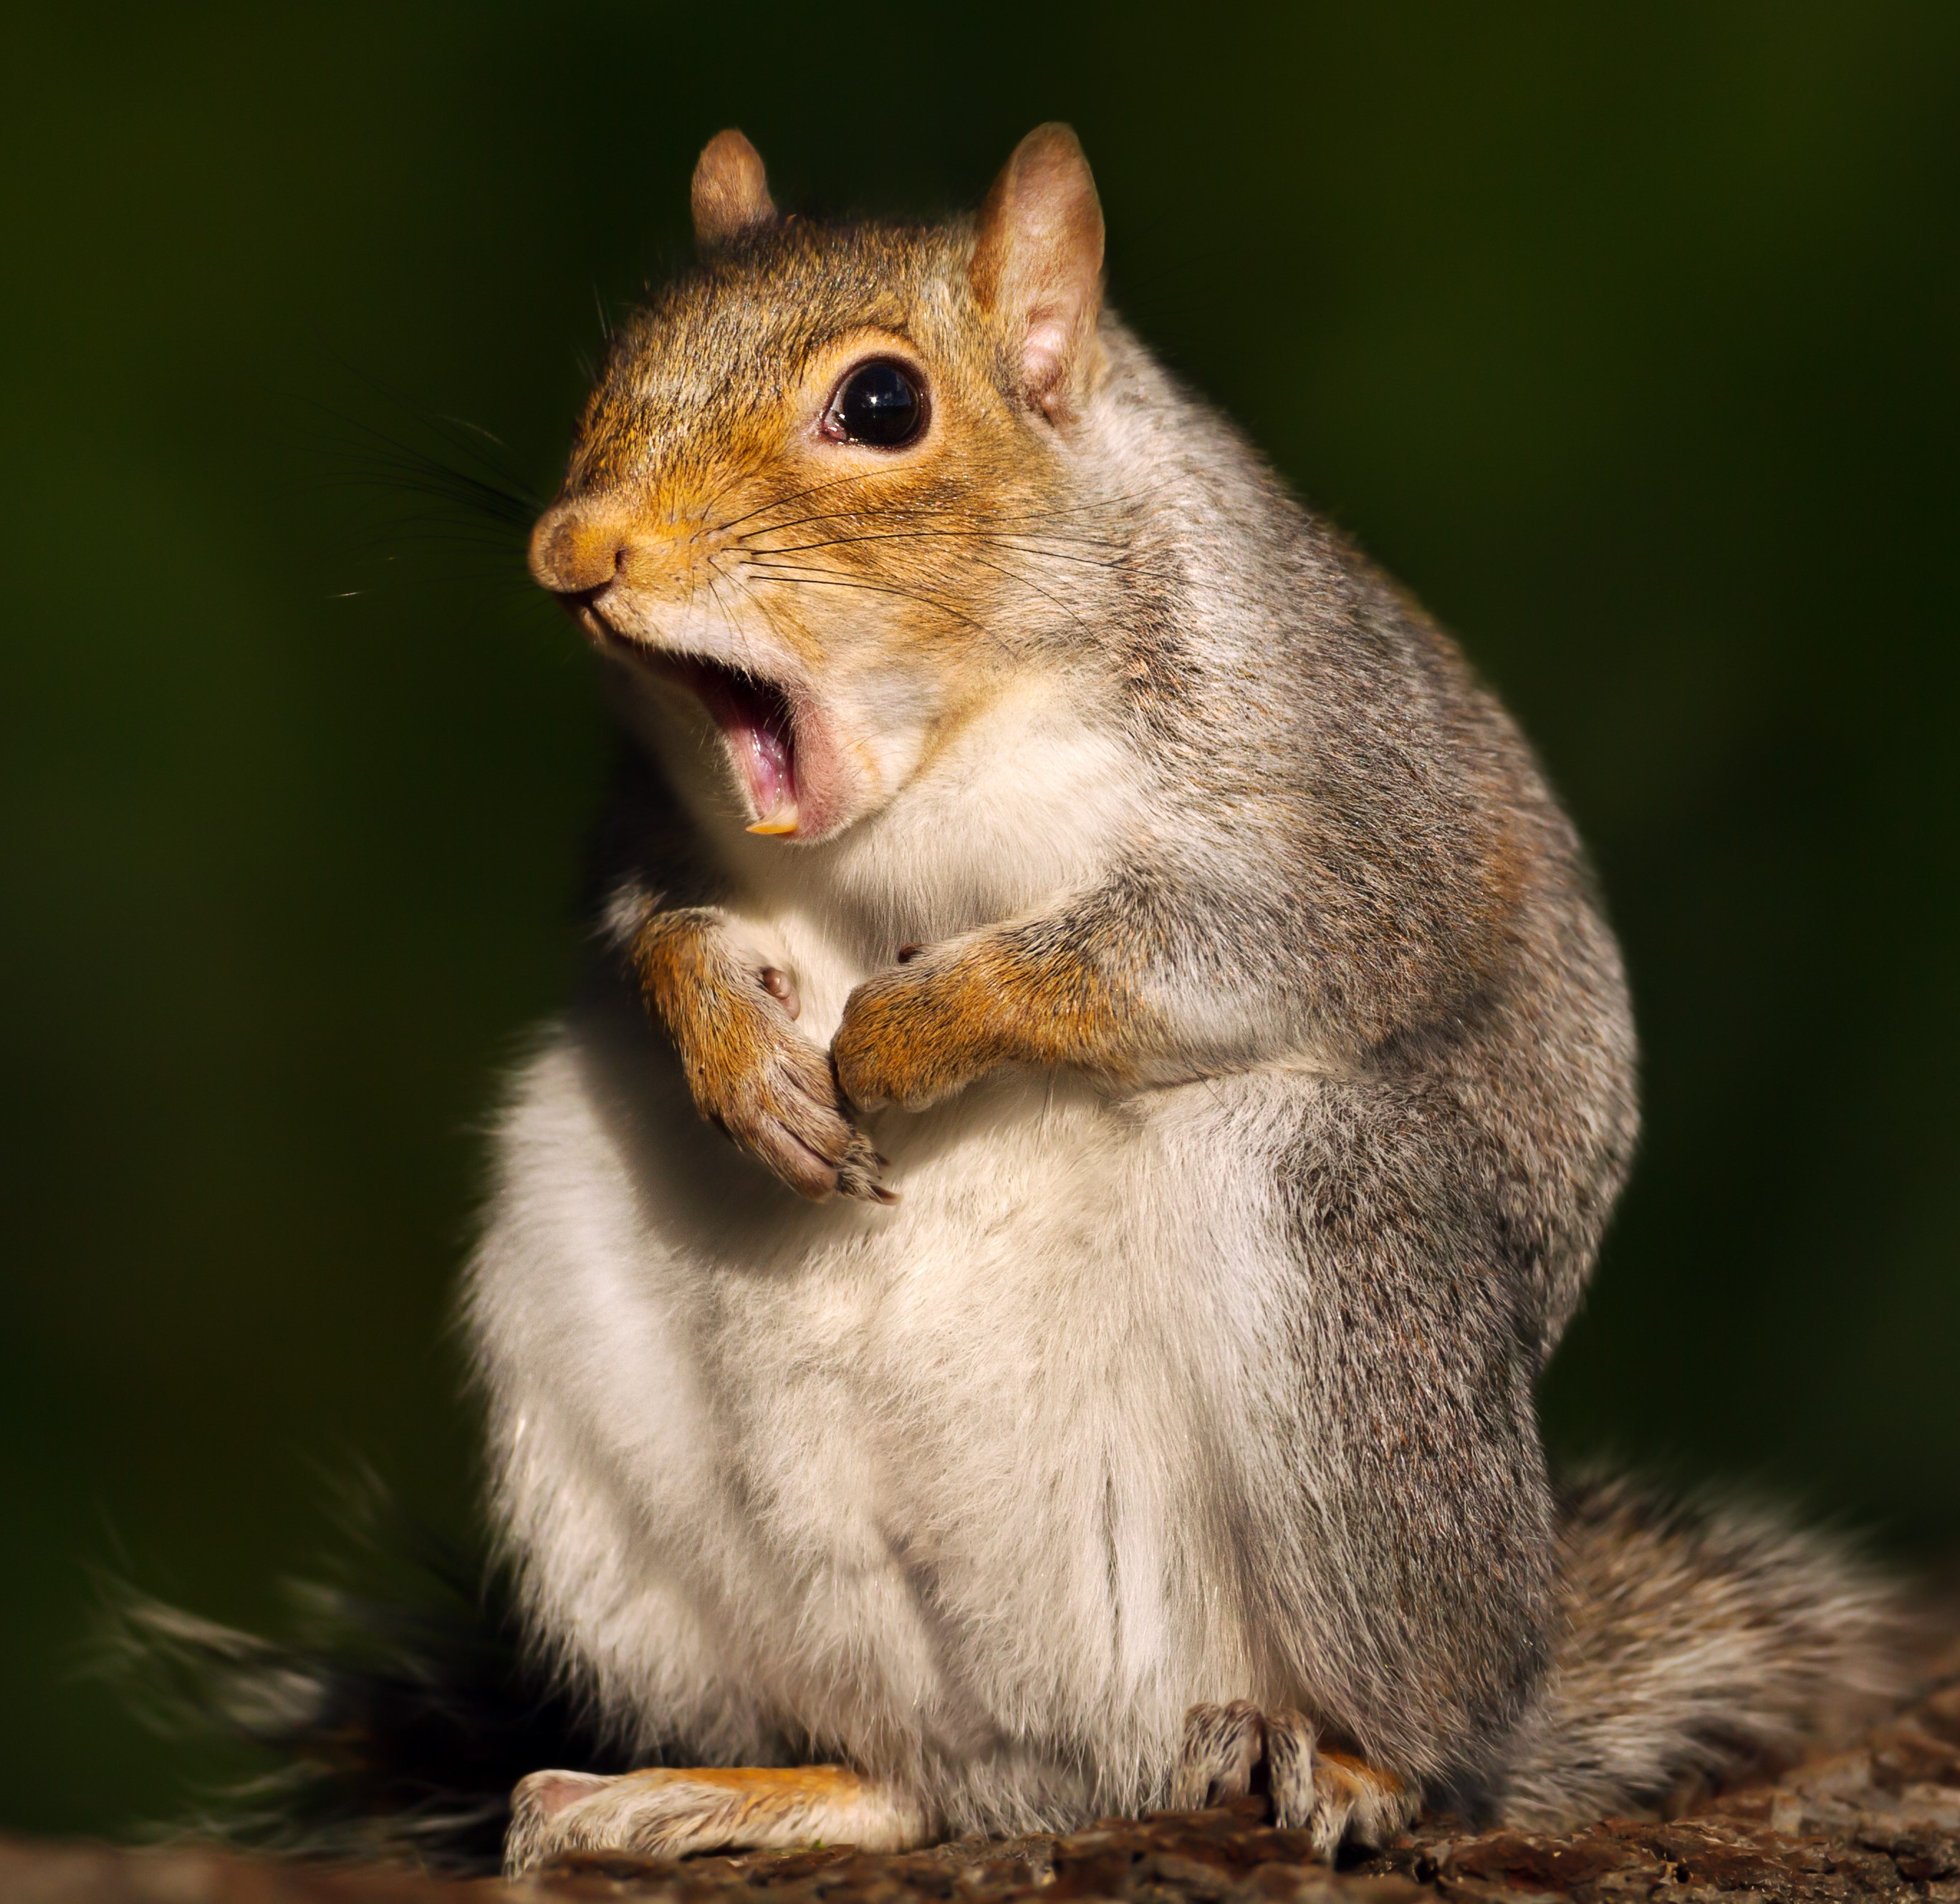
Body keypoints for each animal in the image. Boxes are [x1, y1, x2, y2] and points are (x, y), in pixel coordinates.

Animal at [466, 130, 1905, 1874]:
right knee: (909, 1779)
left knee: (1431, 1732)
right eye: (622, 357)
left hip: (1336, 1266)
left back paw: (1348, 1761)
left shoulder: (1345, 812)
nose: (571, 551)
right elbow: (651, 928)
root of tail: (1075, 1755)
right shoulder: (643, 829)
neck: (934, 764)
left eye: (881, 403)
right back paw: (722, 1790)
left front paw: (902, 1033)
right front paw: (740, 1052)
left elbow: (1204, 950)